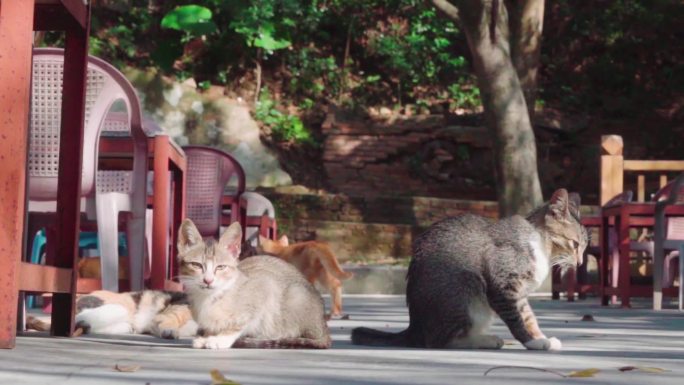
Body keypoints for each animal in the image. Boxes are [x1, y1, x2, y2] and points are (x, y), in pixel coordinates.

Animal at [176, 219, 332, 348]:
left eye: (220, 267)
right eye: (196, 265)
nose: (208, 280)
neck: (210, 298)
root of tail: (323, 326)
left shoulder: (266, 285)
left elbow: (240, 323)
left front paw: (220, 339)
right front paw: (208, 336)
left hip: (296, 296)